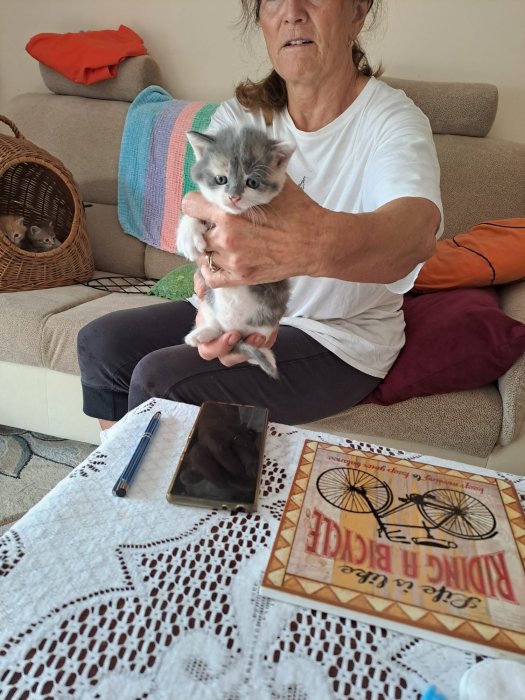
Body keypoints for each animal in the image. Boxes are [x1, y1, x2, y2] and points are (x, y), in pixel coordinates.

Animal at [176, 126, 294, 379]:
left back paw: (264, 354)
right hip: (209, 303)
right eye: (221, 179)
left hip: (268, 317)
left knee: (251, 343)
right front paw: (188, 233)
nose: (233, 196)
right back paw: (203, 333)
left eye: (252, 182)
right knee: (221, 330)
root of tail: (233, 329)